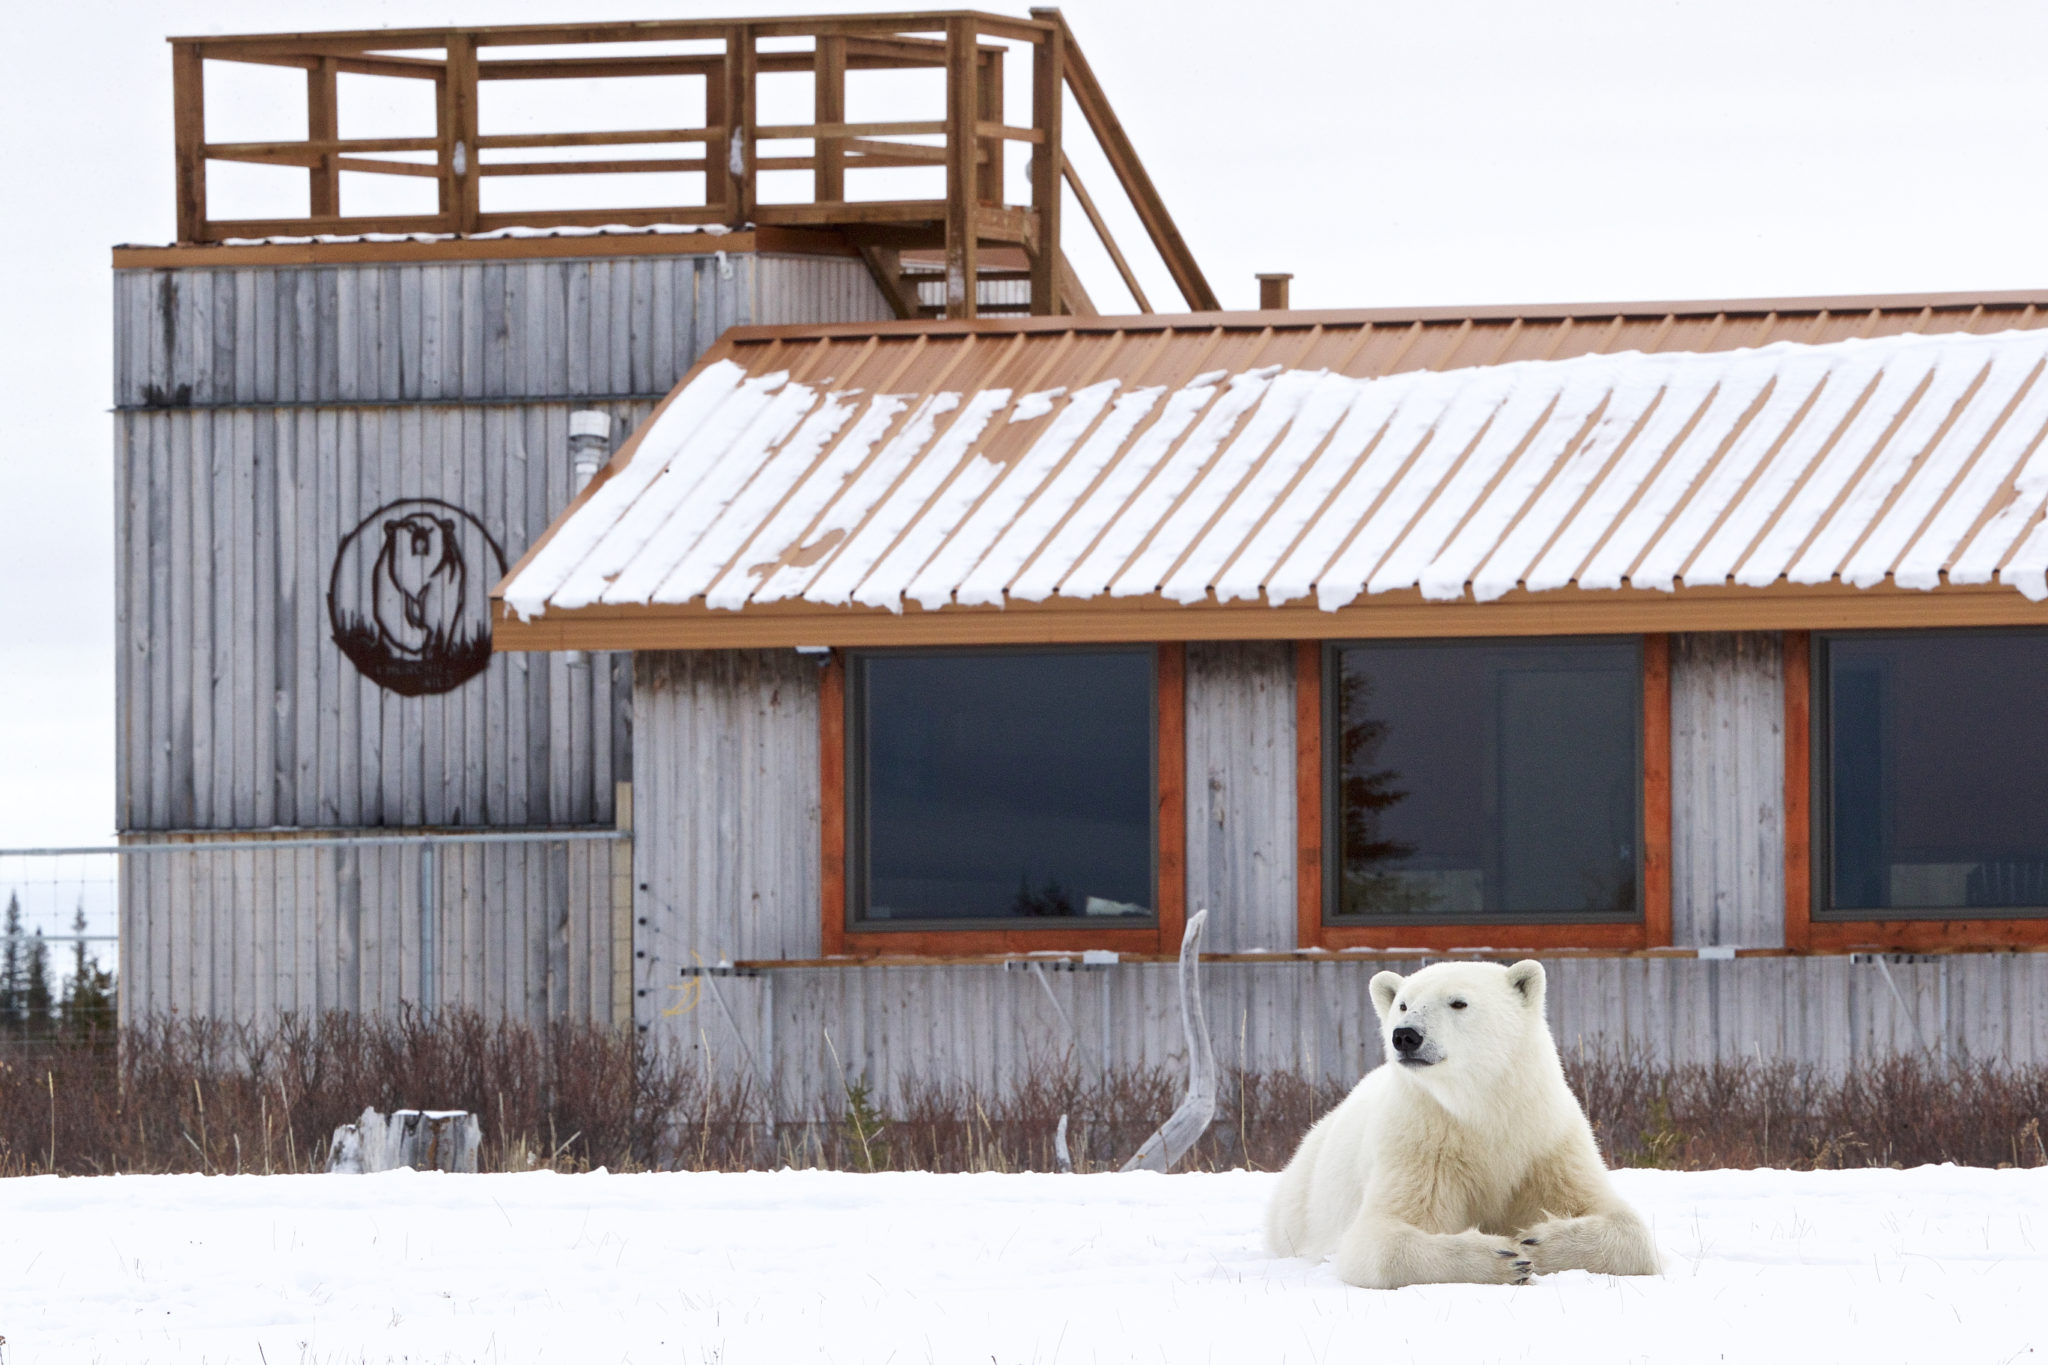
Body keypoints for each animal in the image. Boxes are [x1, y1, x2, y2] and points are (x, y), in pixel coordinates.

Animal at [1261, 961, 1662, 1293]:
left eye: (1458, 1003)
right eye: (1402, 1004)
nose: (1405, 1035)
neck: (1480, 1111)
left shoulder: (1546, 1143)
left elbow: (1626, 1228)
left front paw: (1538, 1241)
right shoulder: (1421, 1143)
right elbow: (1379, 1238)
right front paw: (1505, 1258)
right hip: (1300, 1203)